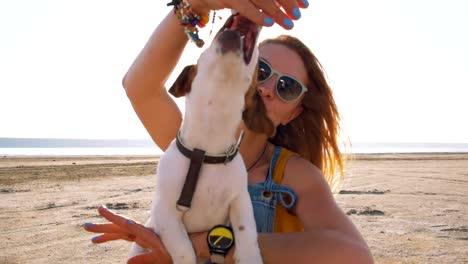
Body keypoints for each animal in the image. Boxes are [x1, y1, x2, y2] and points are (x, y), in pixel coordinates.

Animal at [128, 13, 274, 264]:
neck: (206, 149)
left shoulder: (240, 201)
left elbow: (247, 234)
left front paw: (250, 256)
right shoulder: (166, 213)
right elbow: (183, 249)